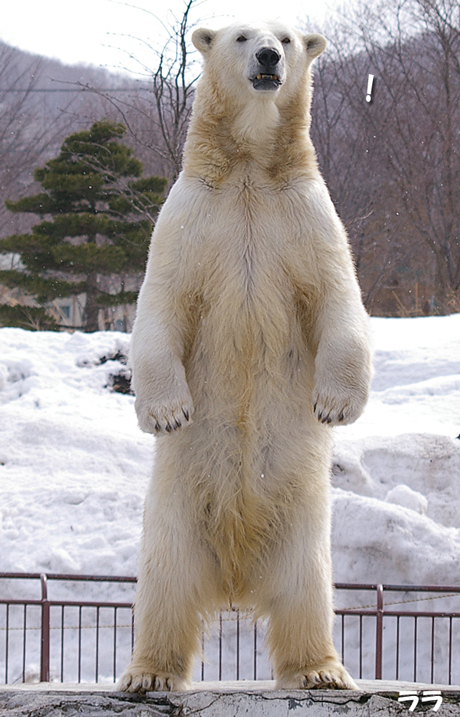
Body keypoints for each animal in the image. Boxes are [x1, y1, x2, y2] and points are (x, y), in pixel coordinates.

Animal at [120, 21, 372, 692]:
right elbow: (161, 302)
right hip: (174, 517)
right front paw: (167, 413)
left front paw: (335, 405)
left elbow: (339, 295)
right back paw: (148, 673)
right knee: (164, 587)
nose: (266, 56)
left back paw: (321, 670)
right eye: (239, 36)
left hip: (303, 526)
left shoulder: (307, 215)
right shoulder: (189, 219)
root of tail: (234, 581)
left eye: (286, 38)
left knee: (307, 592)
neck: (250, 174)